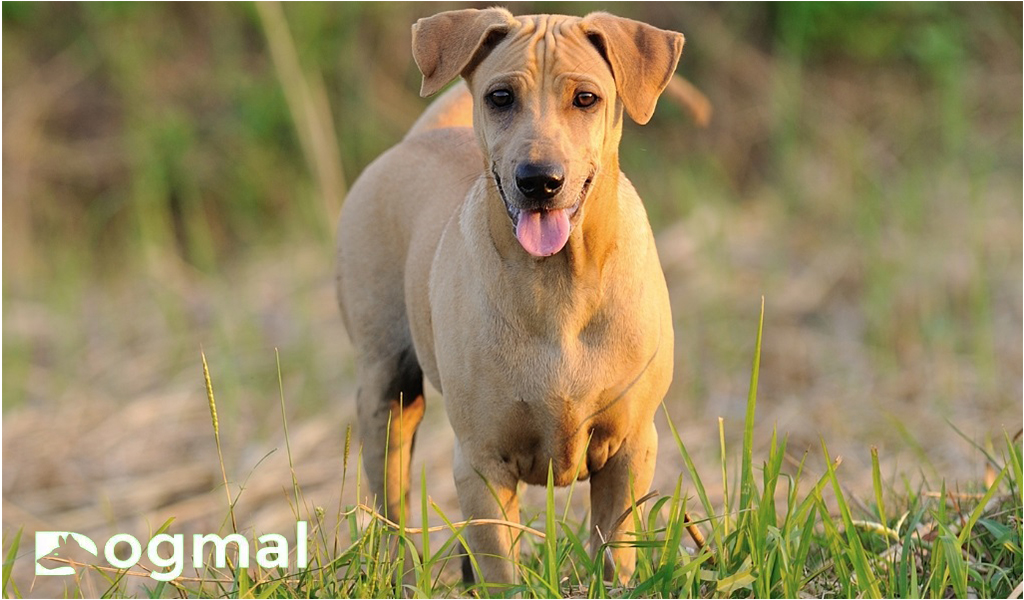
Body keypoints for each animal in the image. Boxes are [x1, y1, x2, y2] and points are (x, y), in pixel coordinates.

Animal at [335, 7, 684, 585]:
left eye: (586, 98)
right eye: (500, 97)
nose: (540, 180)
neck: (558, 284)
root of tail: (415, 141)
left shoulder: (630, 447)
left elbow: (616, 551)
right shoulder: (482, 463)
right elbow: (502, 569)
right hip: (386, 394)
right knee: (391, 505)